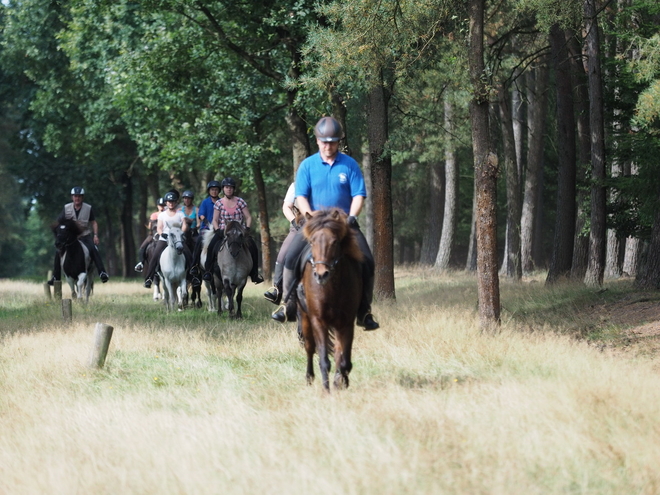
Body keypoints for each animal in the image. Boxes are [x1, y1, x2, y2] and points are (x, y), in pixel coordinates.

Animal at [300, 207, 366, 390]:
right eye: (312, 242)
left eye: (335, 242)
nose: (321, 274)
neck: (331, 289)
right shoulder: (318, 321)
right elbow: (324, 360)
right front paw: (327, 390)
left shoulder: (346, 322)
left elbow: (344, 360)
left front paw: (340, 382)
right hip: (305, 317)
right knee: (309, 348)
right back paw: (309, 378)